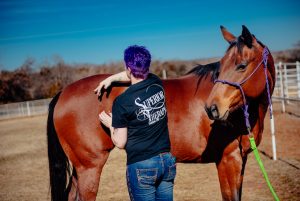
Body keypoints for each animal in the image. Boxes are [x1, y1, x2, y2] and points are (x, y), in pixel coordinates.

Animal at [47, 25, 274, 201]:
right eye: (222, 67)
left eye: (241, 65)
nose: (212, 109)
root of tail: (63, 92)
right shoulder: (228, 161)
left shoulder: (240, 161)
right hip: (89, 168)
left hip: (80, 170)